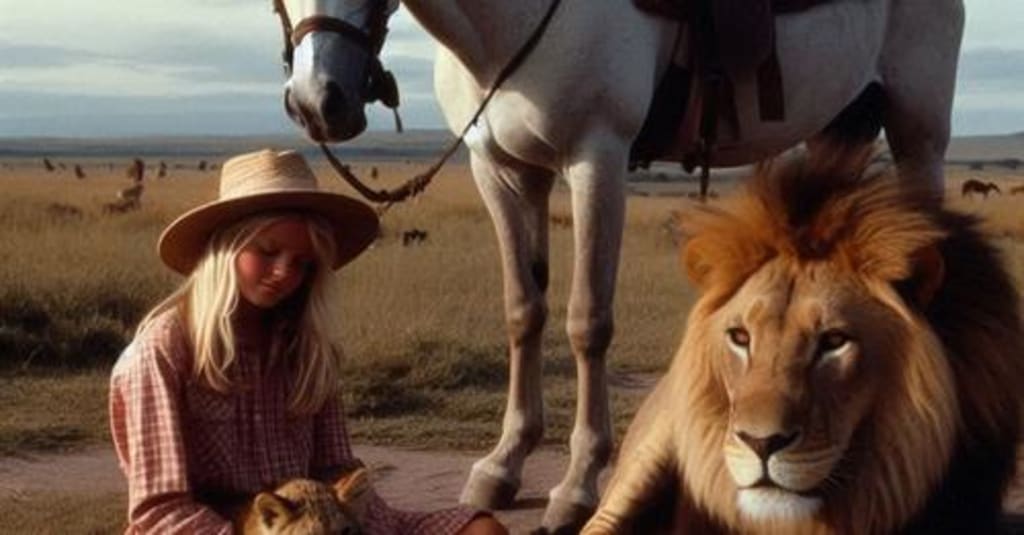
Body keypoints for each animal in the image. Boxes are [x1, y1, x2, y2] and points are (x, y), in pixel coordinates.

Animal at [275, 1, 964, 531]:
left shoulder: (595, 158)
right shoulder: (502, 171)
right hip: (839, 130)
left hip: (918, 134)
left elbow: (587, 321)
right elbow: (523, 311)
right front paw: (503, 463)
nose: (318, 101)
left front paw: (577, 483)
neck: (505, 26)